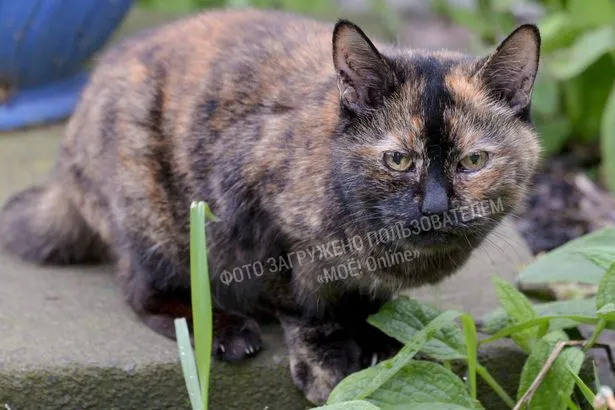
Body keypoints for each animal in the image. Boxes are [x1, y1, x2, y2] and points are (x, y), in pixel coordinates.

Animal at [0, 8, 541, 404]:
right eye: (398, 159)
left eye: (473, 161)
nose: (434, 206)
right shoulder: (261, 220)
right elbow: (306, 306)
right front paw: (328, 363)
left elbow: (369, 304)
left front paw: (380, 339)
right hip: (152, 215)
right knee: (142, 290)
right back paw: (225, 328)